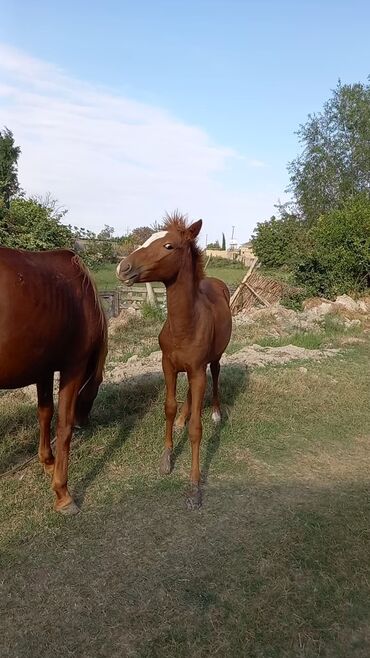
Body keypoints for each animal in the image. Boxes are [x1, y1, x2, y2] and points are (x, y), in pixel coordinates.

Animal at [0, 246, 107, 512]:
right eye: (96, 388)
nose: (83, 422)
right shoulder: (73, 368)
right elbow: (63, 425)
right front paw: (63, 493)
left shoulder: (44, 370)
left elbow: (45, 413)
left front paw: (47, 461)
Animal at [117, 213, 231, 504]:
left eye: (168, 246)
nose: (123, 267)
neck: (185, 326)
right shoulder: (168, 365)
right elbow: (168, 407)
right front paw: (166, 458)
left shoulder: (198, 369)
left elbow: (197, 430)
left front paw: (194, 485)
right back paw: (182, 419)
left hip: (213, 360)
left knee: (216, 375)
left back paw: (216, 412)